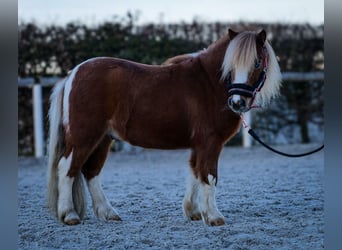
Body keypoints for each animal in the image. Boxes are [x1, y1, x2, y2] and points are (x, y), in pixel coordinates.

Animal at [46, 28, 280, 227]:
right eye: (229, 65)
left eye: (257, 63)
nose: (237, 103)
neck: (208, 84)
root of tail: (73, 73)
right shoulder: (210, 142)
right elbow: (209, 175)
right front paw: (214, 217)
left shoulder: (198, 144)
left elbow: (195, 172)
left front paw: (194, 212)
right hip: (84, 136)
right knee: (67, 168)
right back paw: (69, 215)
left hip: (103, 139)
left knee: (91, 172)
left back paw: (108, 213)